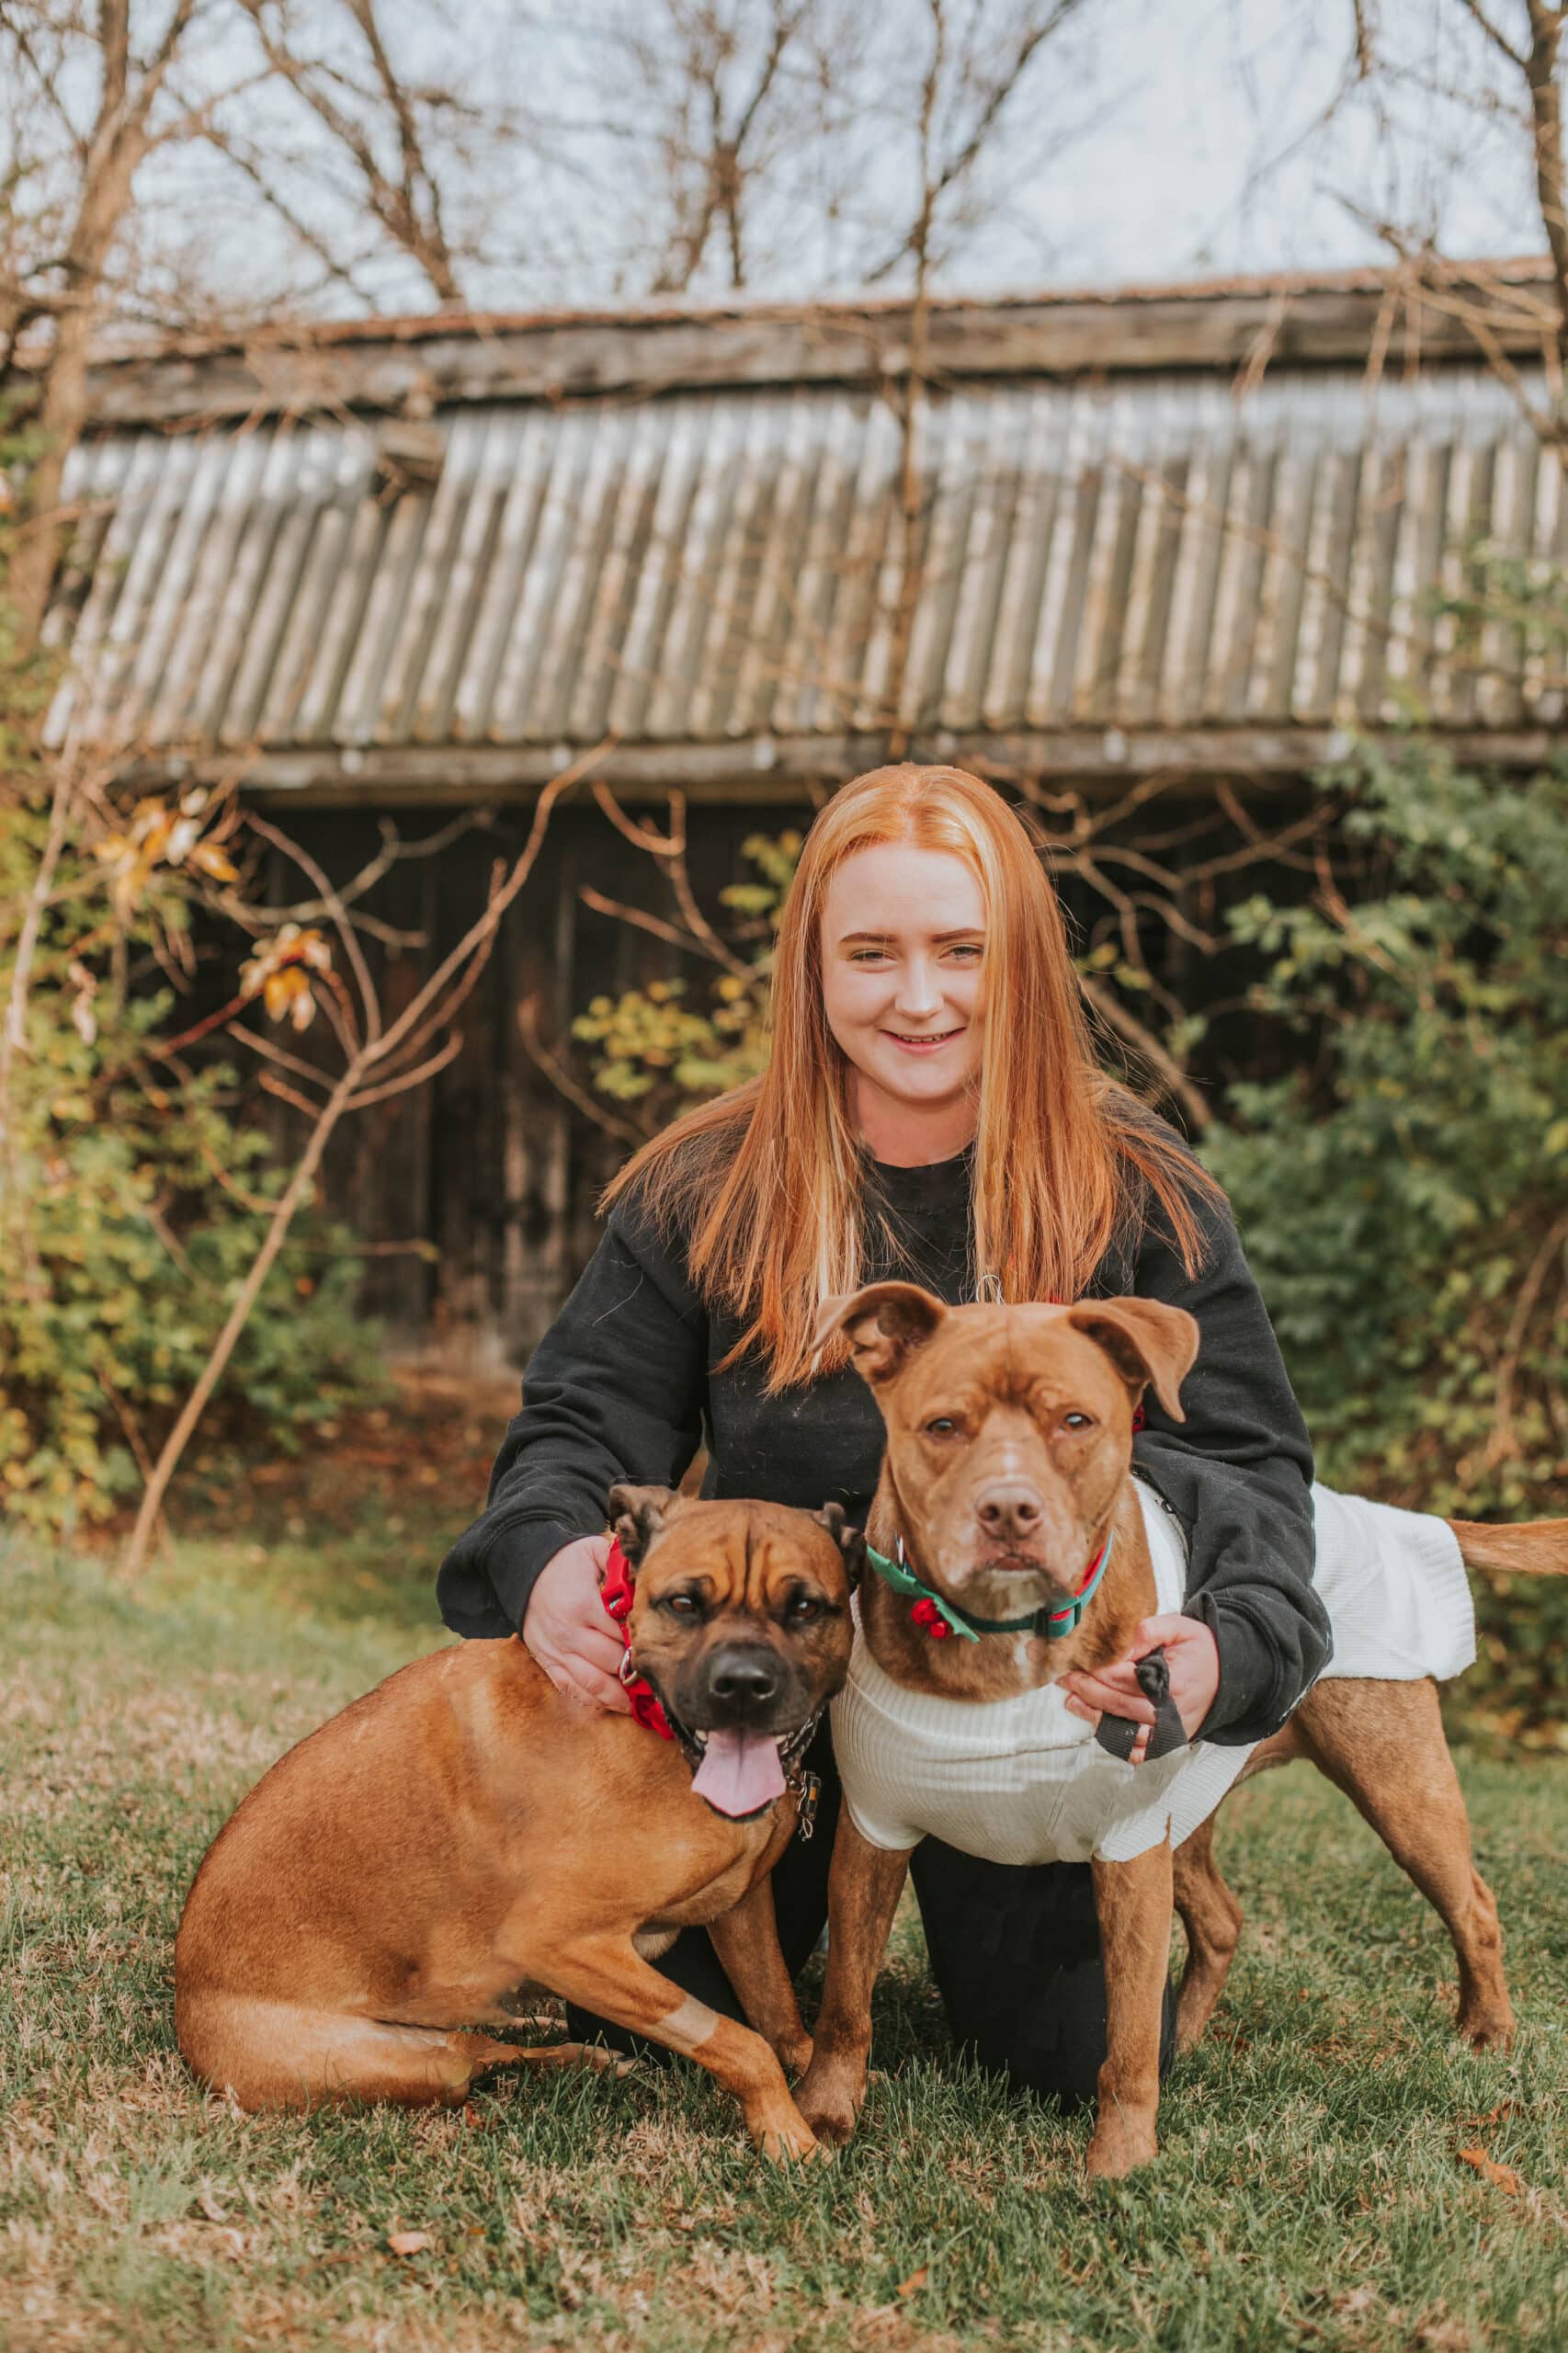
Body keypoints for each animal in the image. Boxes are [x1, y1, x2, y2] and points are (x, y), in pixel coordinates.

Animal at [175, 1488, 858, 2160]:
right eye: (685, 1603)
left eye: (805, 1607)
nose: (742, 1685)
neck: (650, 1719)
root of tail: (186, 2015)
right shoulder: (562, 1942)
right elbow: (738, 2040)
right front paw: (788, 2133)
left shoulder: (743, 1905)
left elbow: (775, 2009)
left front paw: (814, 2077)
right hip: (417, 2067)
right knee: (481, 2063)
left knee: (494, 2043)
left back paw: (573, 2046)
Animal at [793, 1283, 1566, 2179]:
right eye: (943, 1425)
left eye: (1076, 1421)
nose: (1010, 1510)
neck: (1003, 1642)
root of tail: (1382, 1517)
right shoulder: (872, 1833)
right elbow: (846, 1996)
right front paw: (824, 2112)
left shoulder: (1128, 1851)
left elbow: (1126, 2033)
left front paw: (1121, 2161)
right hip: (1190, 1813)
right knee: (1225, 1921)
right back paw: (1193, 2038)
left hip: (1397, 1787)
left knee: (1472, 1902)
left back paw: (1487, 2031)